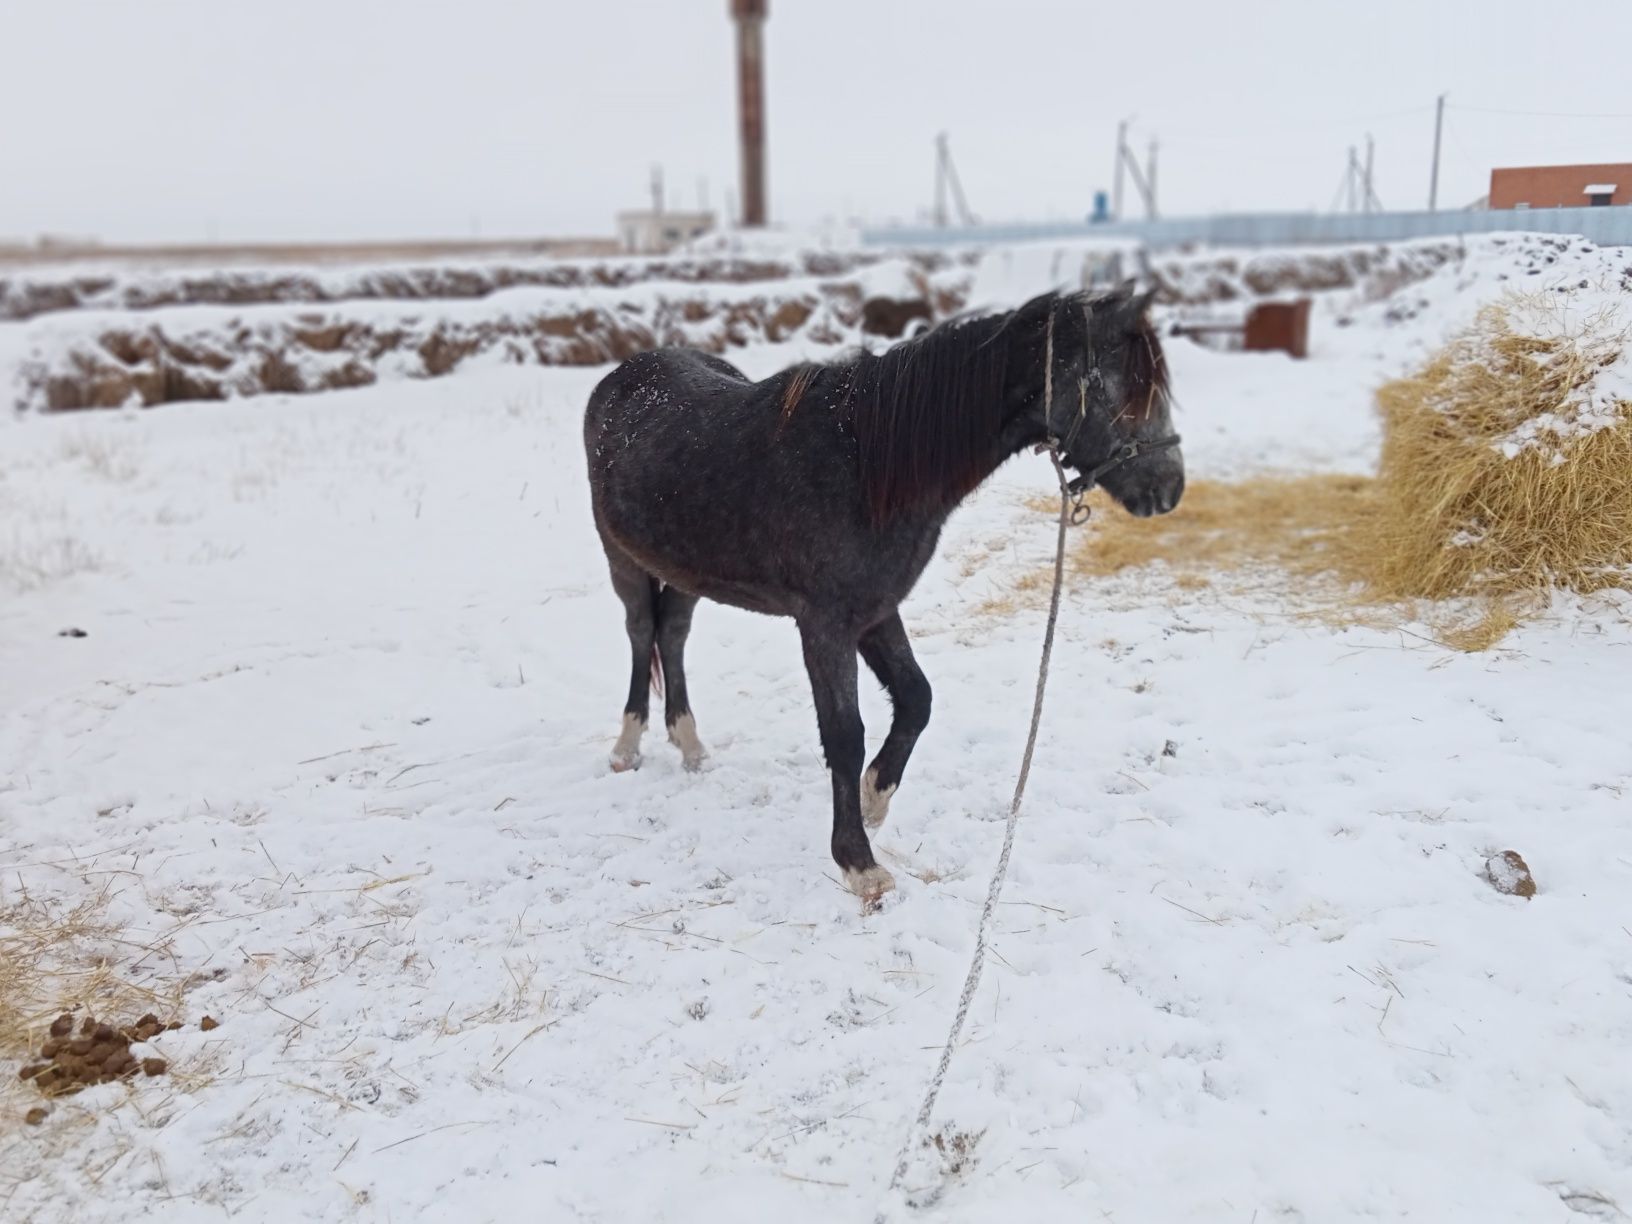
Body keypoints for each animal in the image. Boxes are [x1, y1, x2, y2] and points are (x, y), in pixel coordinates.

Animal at [587, 285, 1188, 900]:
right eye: (1124, 390)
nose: (1168, 489)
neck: (865, 465)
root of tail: (624, 374)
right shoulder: (825, 625)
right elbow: (845, 735)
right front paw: (859, 863)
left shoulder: (875, 611)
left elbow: (916, 699)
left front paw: (875, 796)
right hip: (623, 559)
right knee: (642, 632)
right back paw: (627, 745)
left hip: (687, 570)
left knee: (673, 634)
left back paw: (689, 746)